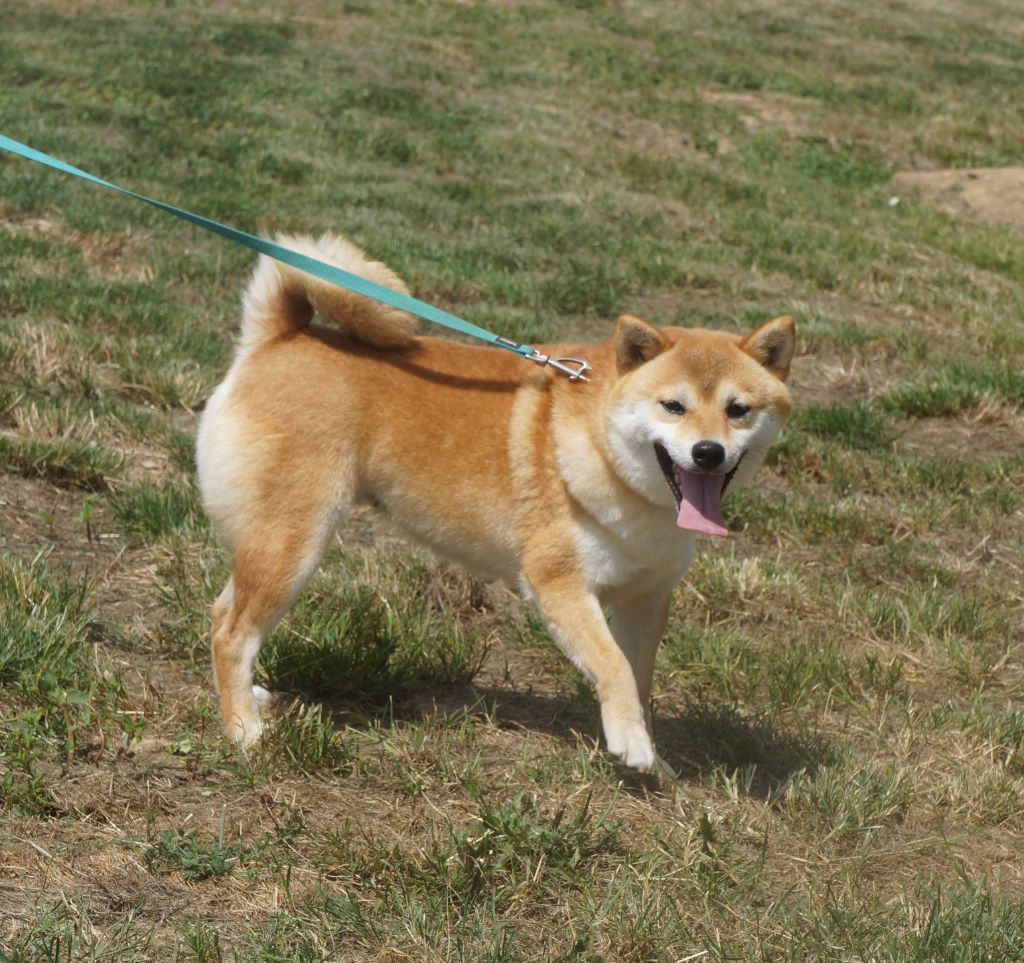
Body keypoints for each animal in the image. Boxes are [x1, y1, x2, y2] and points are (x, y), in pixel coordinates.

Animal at [196, 234, 795, 770]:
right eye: (673, 406)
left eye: (738, 410)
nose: (708, 452)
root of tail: (277, 339)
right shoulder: (558, 584)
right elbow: (614, 667)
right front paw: (632, 746)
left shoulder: (645, 599)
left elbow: (640, 680)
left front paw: (652, 754)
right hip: (294, 544)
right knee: (232, 633)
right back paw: (243, 730)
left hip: (272, 542)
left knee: (224, 613)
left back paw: (250, 699)